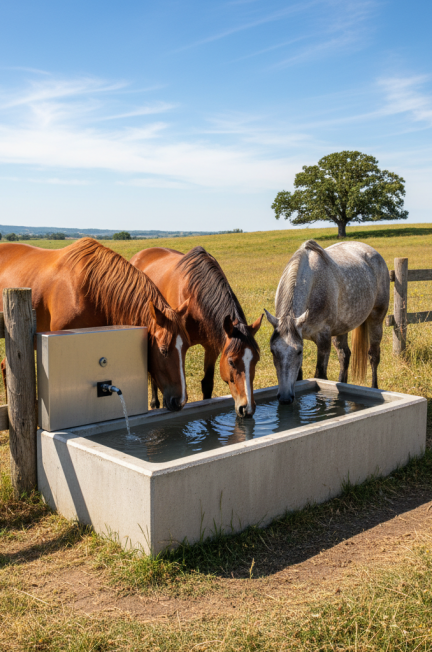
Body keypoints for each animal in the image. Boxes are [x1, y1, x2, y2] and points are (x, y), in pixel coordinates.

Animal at [130, 246, 263, 417]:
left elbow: (207, 384)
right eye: (231, 362)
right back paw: (154, 403)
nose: (247, 409)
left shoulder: (212, 347)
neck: (194, 298)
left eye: (256, 360)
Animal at [265, 240, 390, 403]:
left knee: (373, 356)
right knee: (344, 356)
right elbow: (299, 378)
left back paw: (374, 388)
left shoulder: (323, 340)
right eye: (272, 351)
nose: (285, 398)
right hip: (342, 328)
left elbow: (320, 377)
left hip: (376, 319)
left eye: (299, 352)